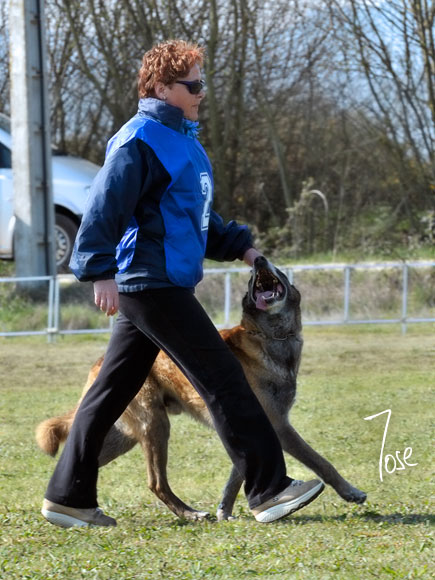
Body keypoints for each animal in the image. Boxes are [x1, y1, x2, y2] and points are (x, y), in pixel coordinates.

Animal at [36, 256, 366, 521]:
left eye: (275, 268)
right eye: (251, 278)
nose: (258, 260)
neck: (269, 335)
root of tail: (98, 364)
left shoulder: (254, 426)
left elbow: (238, 474)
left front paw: (232, 510)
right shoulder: (278, 426)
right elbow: (320, 461)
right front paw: (349, 491)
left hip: (124, 435)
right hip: (156, 426)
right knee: (156, 483)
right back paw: (189, 513)